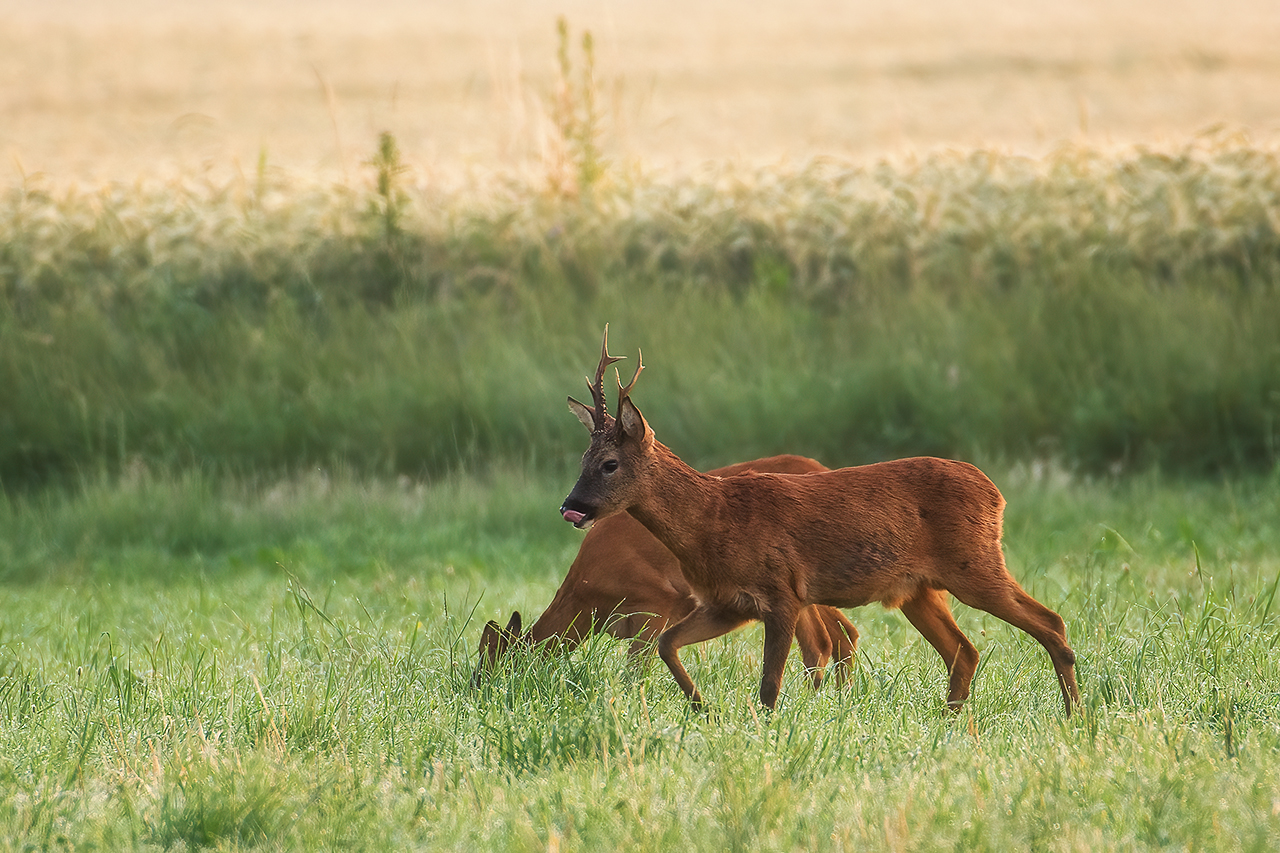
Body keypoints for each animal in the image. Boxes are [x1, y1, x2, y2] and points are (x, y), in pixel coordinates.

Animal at [473, 455, 860, 686]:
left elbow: (635, 672)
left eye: (490, 665)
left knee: (823, 642)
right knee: (845, 634)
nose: (476, 692)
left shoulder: (657, 603)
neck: (588, 596)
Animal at [560, 325, 1080, 712]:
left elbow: (770, 687)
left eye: (609, 463)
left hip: (974, 564)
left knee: (1050, 622)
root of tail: (995, 493)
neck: (713, 520)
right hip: (917, 590)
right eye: (582, 458)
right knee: (964, 653)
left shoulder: (782, 591)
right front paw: (702, 708)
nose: (572, 506)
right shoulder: (728, 603)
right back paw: (954, 727)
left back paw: (1074, 716)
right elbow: (667, 644)